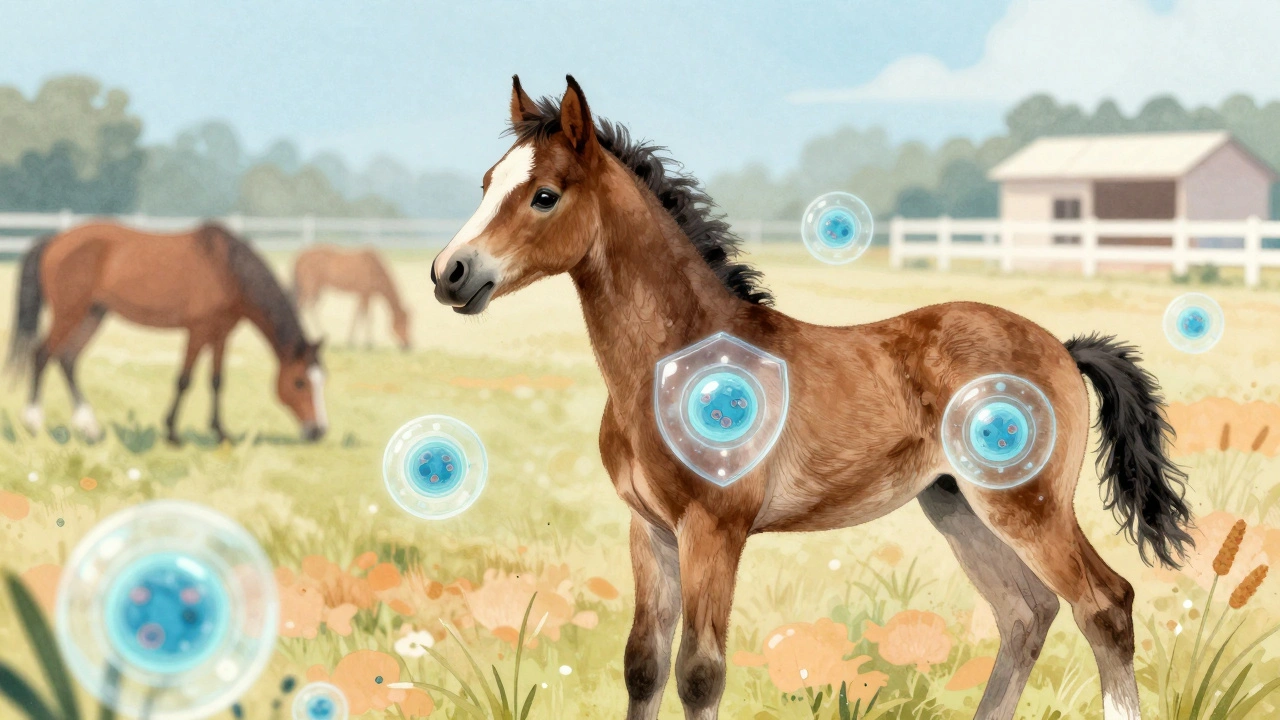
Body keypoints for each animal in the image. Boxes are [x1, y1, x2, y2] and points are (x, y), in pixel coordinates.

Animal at [6, 221, 329, 444]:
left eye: (321, 380)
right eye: (299, 382)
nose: (318, 431)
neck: (226, 268)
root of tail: (54, 240)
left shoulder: (221, 334)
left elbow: (217, 381)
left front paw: (221, 432)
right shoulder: (198, 331)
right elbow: (184, 379)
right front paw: (172, 432)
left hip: (93, 315)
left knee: (67, 359)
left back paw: (90, 427)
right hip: (69, 314)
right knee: (42, 354)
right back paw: (33, 422)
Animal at [430, 76, 1194, 720]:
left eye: (545, 195)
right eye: (485, 183)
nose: (450, 273)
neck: (677, 360)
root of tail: (1061, 347)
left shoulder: (713, 529)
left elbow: (700, 673)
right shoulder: (649, 529)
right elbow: (643, 665)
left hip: (1026, 506)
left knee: (1105, 605)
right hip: (956, 504)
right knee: (1026, 613)